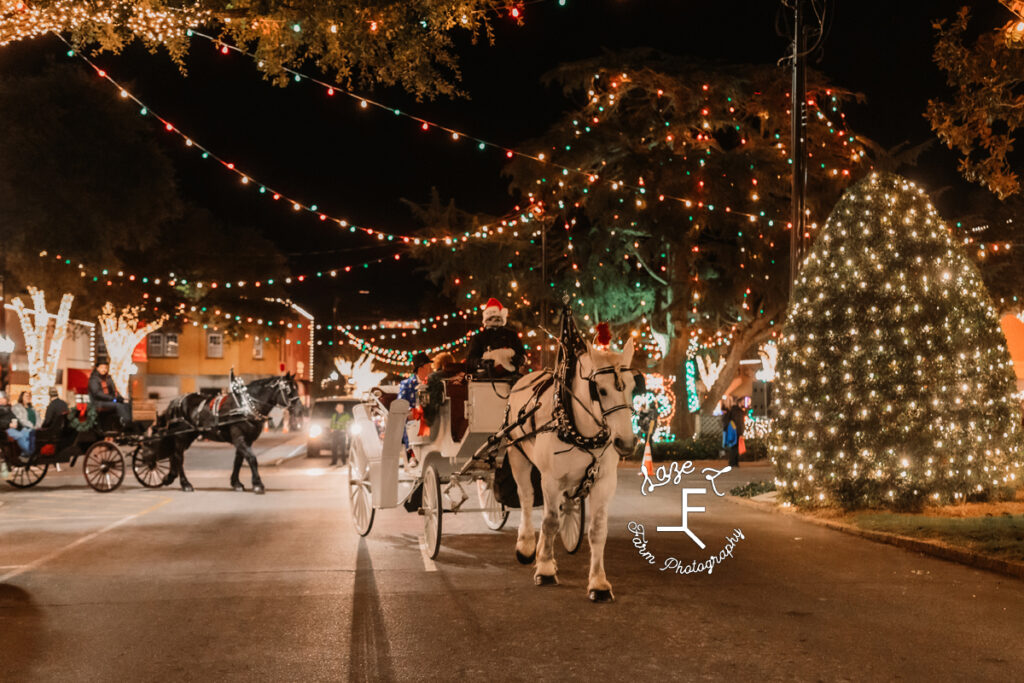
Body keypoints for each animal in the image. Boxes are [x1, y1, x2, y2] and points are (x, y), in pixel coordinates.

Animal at [154, 374, 299, 491]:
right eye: (288, 390)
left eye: (296, 387)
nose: (299, 408)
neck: (246, 406)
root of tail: (176, 401)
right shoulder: (239, 438)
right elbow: (251, 458)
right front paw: (257, 484)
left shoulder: (247, 440)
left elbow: (238, 461)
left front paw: (236, 483)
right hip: (181, 436)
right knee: (179, 457)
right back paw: (185, 484)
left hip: (189, 436)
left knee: (175, 456)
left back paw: (170, 477)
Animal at [501, 339, 634, 602]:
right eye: (601, 390)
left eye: (634, 386)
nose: (626, 443)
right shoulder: (551, 479)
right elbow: (551, 522)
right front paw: (544, 569)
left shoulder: (604, 481)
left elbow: (597, 530)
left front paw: (598, 583)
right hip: (518, 456)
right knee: (527, 498)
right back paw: (527, 545)